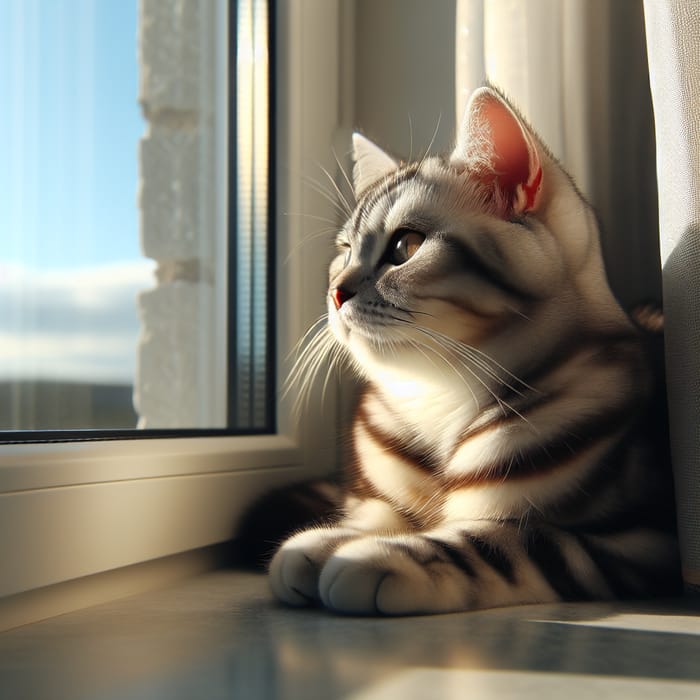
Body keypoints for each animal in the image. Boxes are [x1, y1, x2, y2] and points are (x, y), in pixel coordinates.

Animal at [266, 86, 680, 612]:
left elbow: (504, 540)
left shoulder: (641, 538)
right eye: (345, 251)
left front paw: (384, 555)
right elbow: (376, 514)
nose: (335, 292)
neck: (438, 397)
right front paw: (332, 538)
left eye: (405, 247)